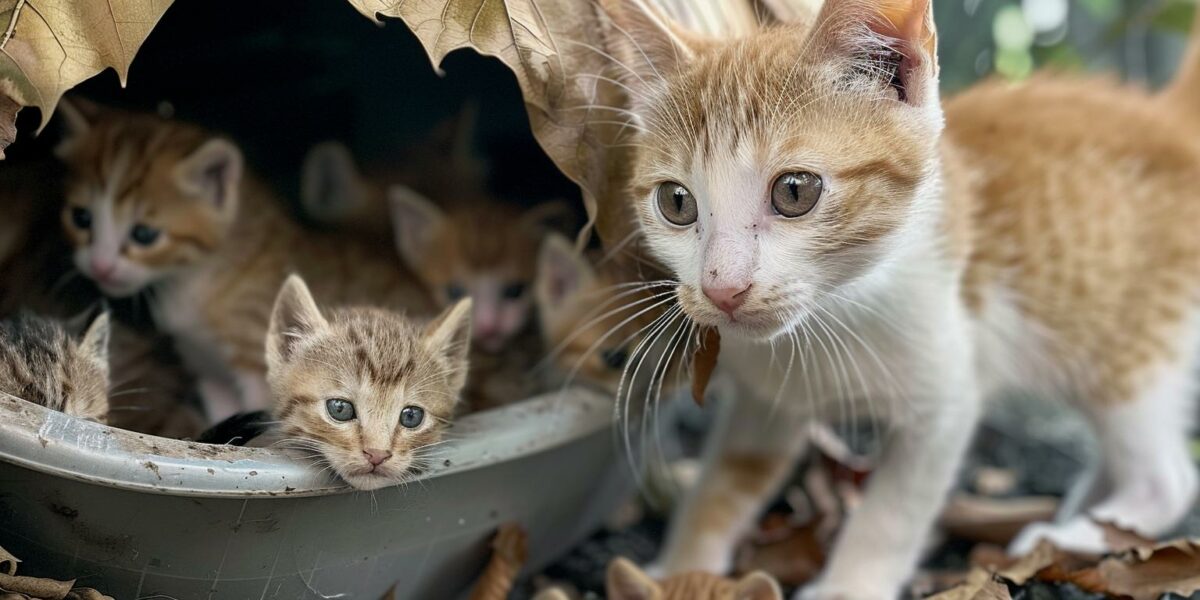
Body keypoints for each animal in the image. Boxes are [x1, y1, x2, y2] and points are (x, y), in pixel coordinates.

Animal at [57, 99, 432, 422]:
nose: (100, 265)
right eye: (81, 218)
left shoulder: (259, 365)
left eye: (144, 234)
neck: (196, 281)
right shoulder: (206, 369)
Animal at [600, 2, 1200, 597]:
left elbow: (893, 510)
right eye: (676, 203)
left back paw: (1077, 534)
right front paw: (679, 569)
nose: (722, 288)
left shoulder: (945, 398)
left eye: (794, 191)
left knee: (1166, 474)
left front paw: (847, 588)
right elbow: (724, 481)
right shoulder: (764, 399)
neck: (827, 316)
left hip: (1129, 347)